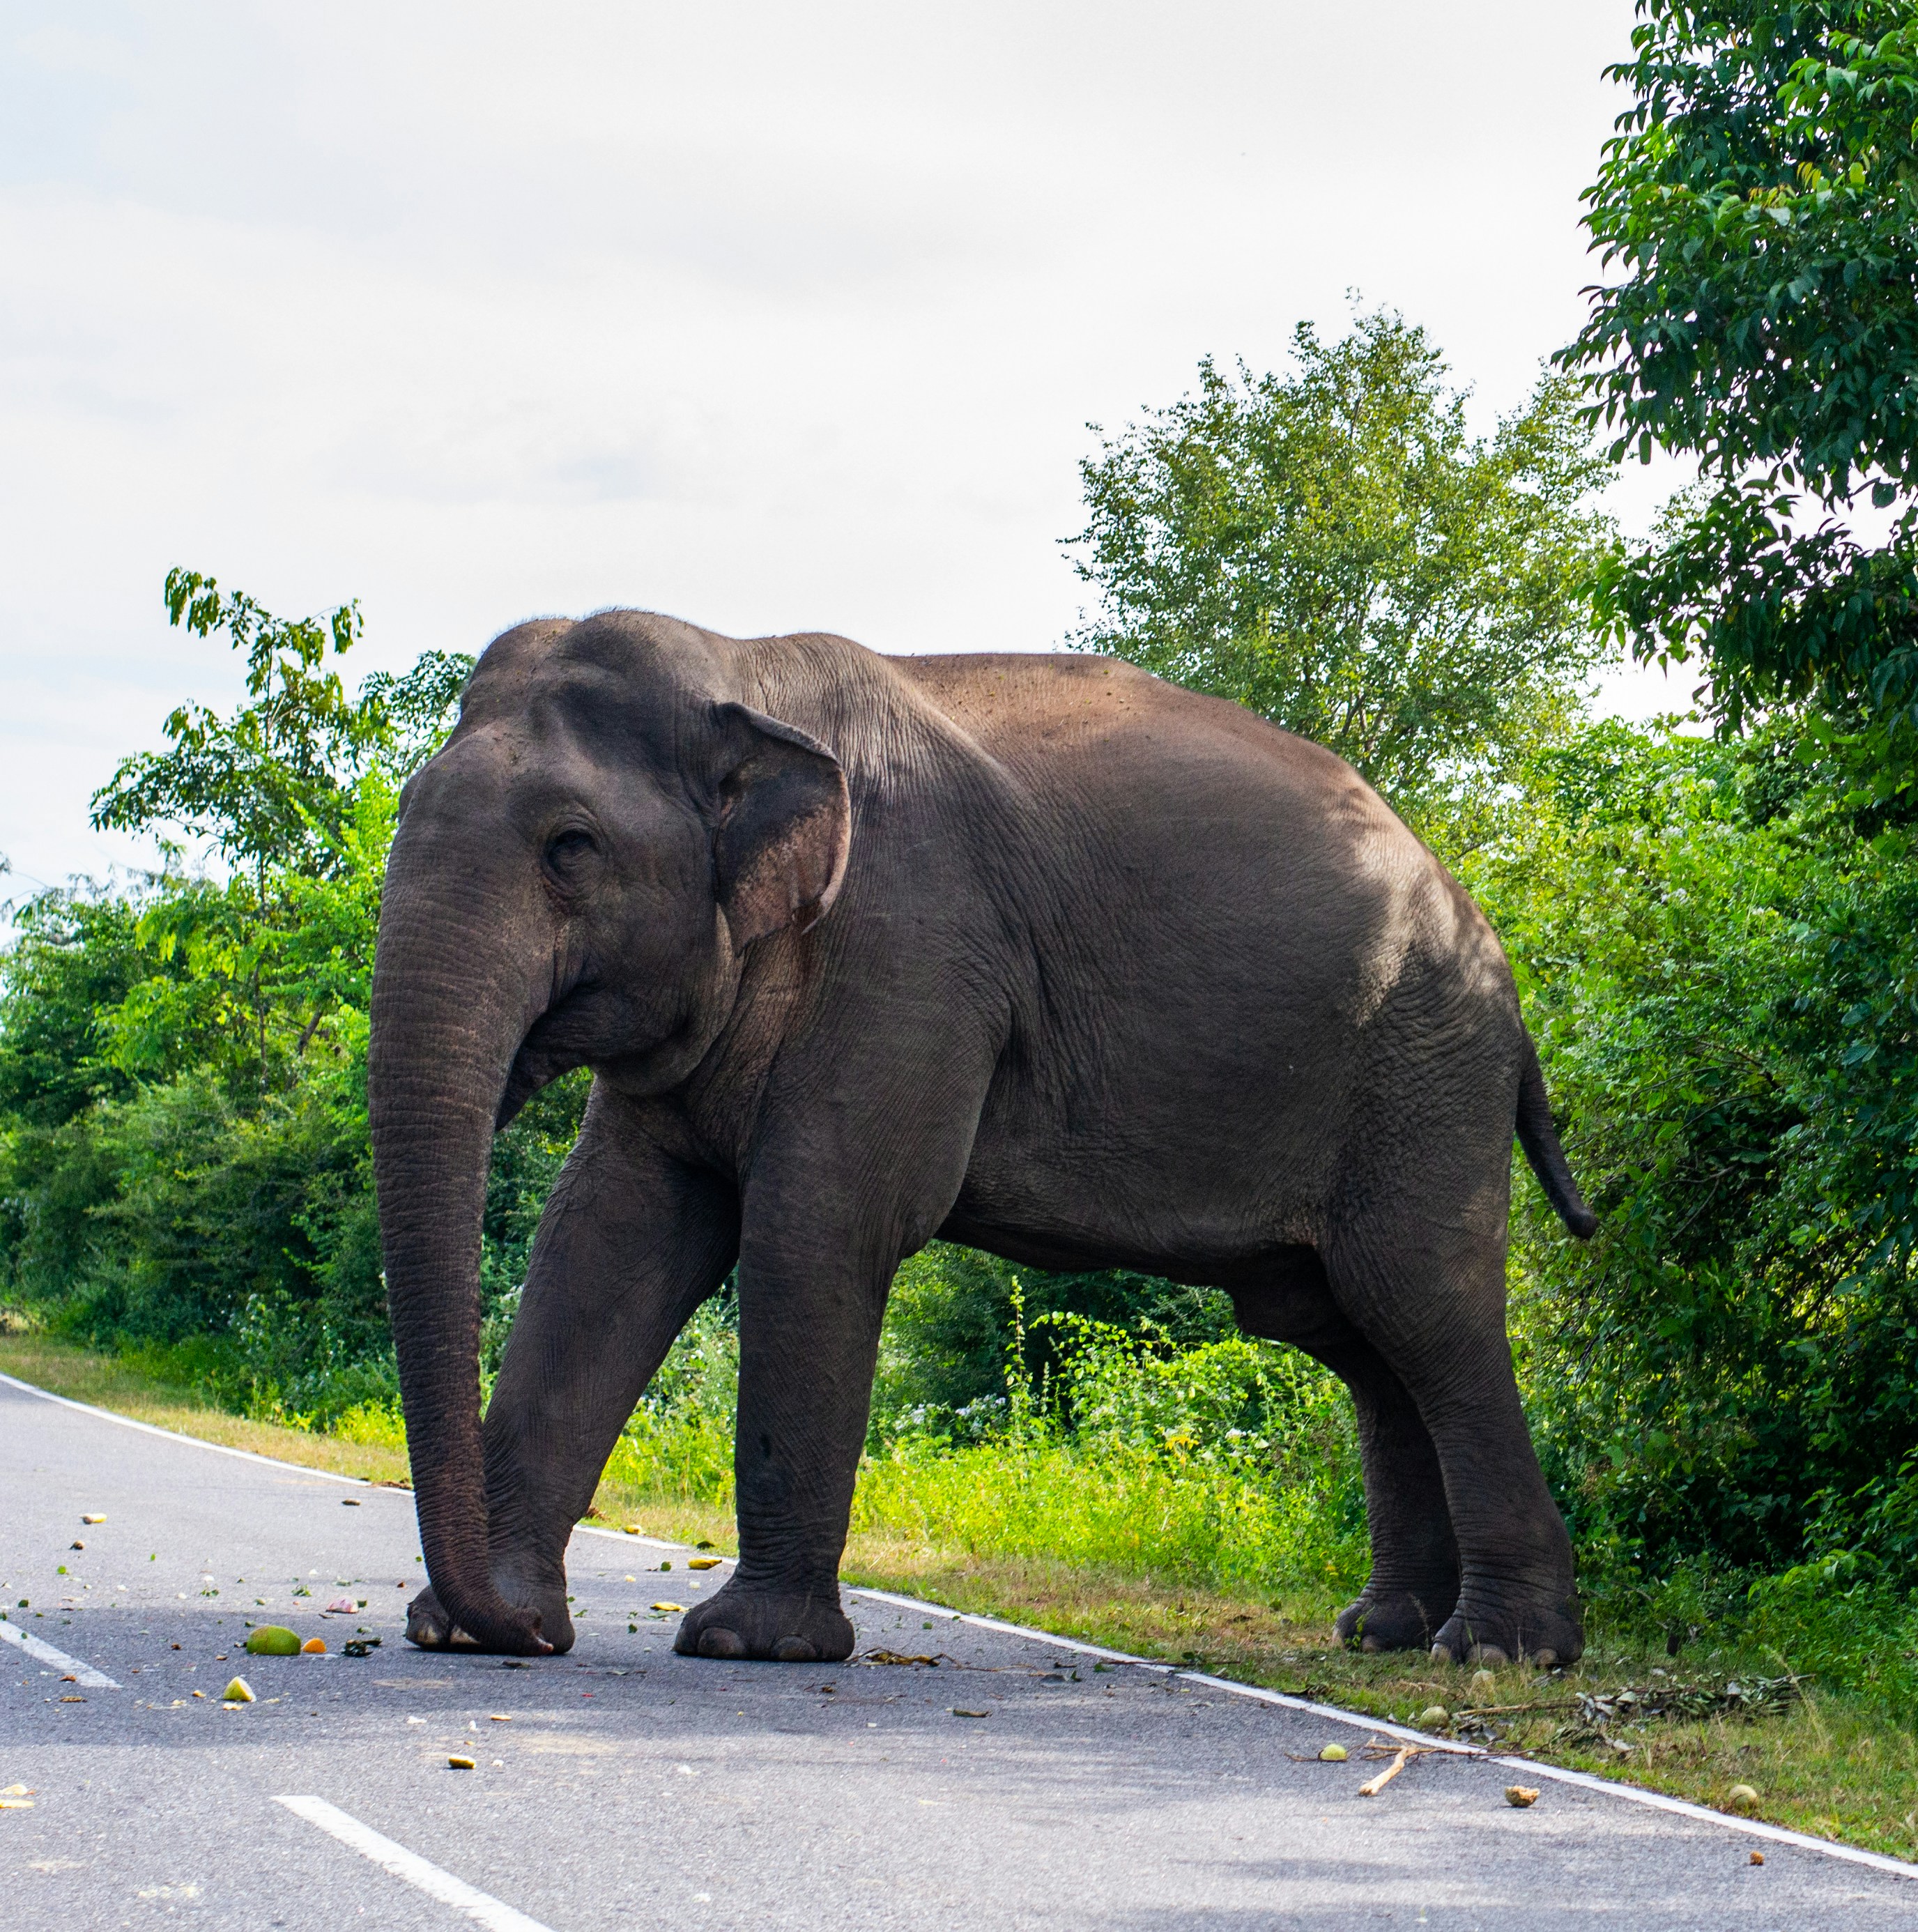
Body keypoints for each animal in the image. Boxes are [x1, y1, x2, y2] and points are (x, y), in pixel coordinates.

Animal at [368, 608, 1597, 1671]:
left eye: (570, 846)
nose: (533, 1640)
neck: (742, 667)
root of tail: (1505, 974)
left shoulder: (909, 951)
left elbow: (819, 1225)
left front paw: (745, 1645)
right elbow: (609, 1233)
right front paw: (470, 1630)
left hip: (1424, 1078)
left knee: (1420, 1305)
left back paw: (1496, 1652)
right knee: (1353, 1333)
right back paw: (1387, 1632)